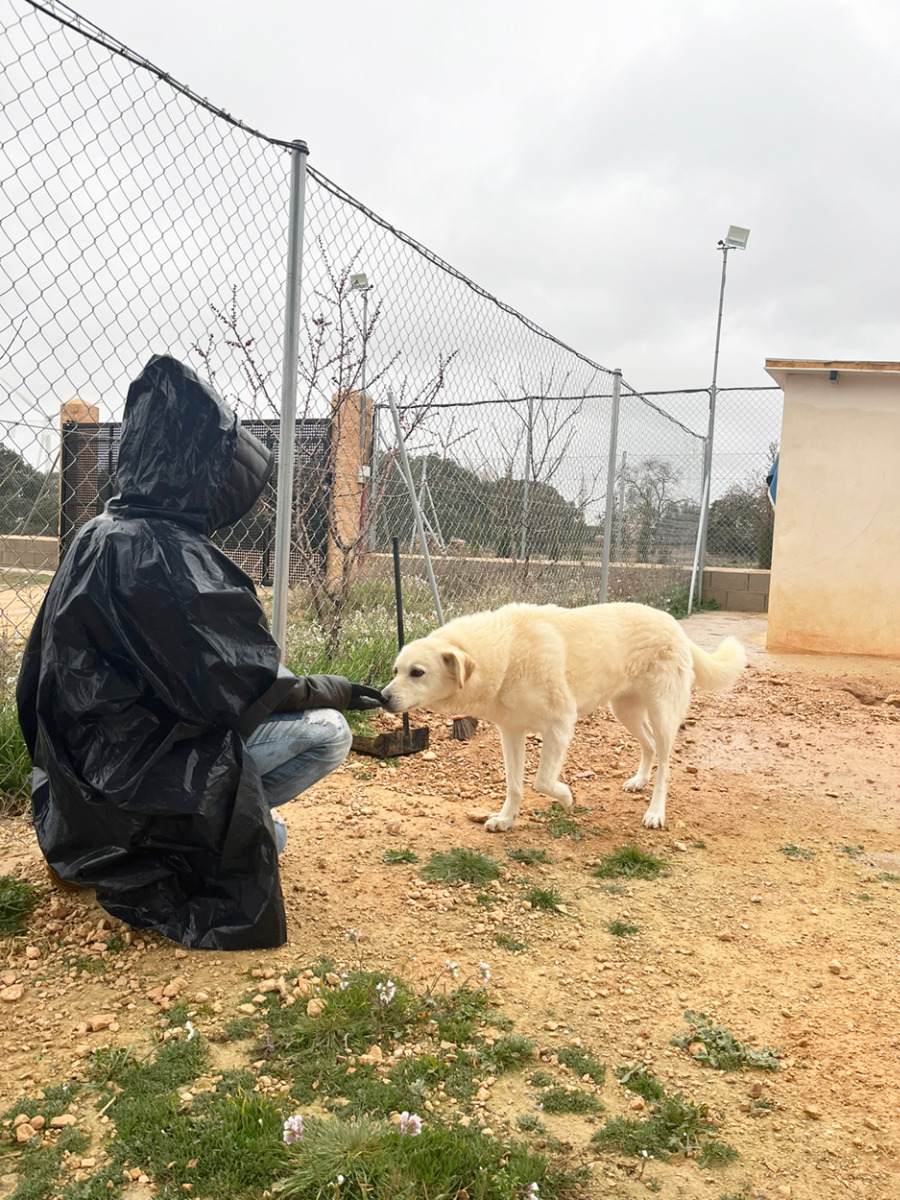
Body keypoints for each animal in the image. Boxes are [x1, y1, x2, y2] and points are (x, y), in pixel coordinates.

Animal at [380, 601, 746, 832]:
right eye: (396, 671)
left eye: (417, 672)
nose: (382, 697)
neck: (507, 653)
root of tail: (673, 623)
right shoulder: (511, 732)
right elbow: (515, 785)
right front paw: (506, 820)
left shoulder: (559, 726)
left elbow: (542, 781)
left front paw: (568, 798)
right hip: (625, 711)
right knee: (649, 746)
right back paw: (639, 781)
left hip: (662, 713)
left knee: (666, 764)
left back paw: (655, 812)